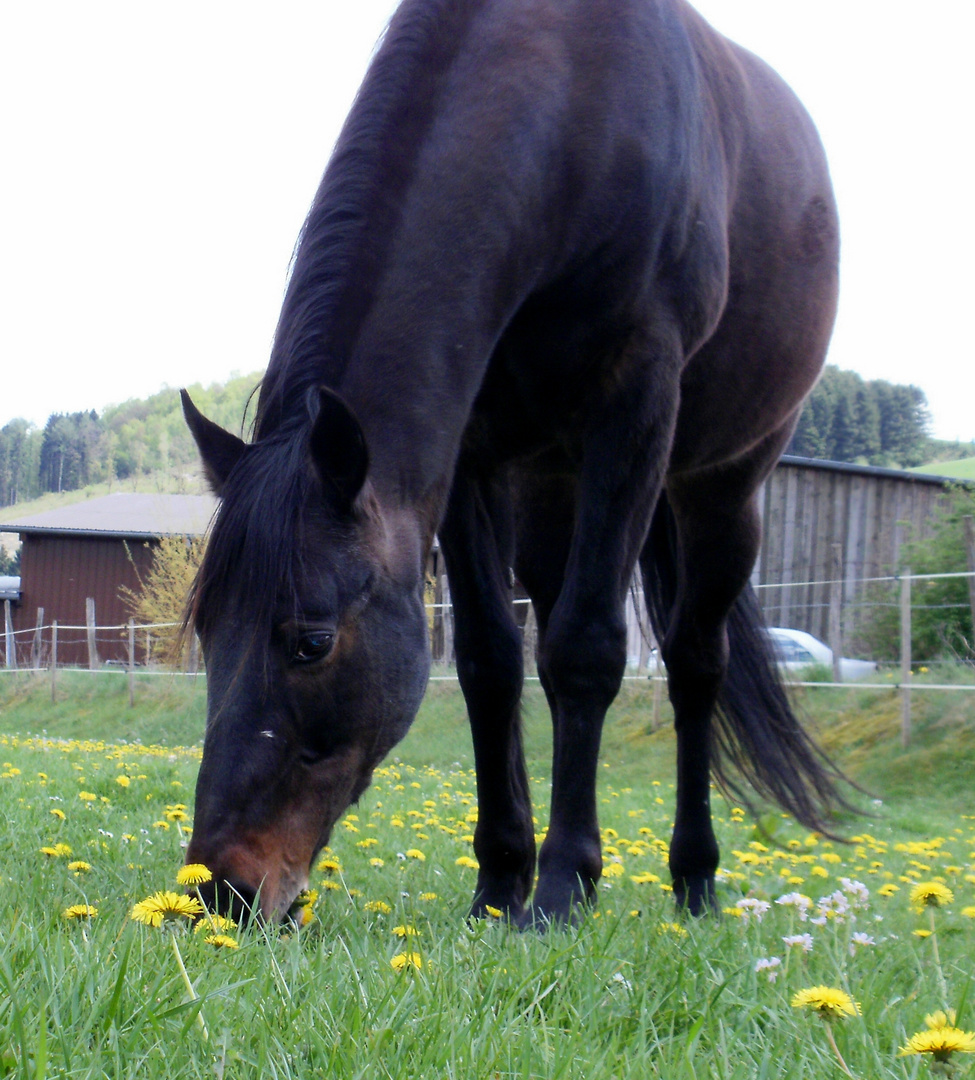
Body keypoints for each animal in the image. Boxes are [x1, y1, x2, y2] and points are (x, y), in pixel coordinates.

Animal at [183, 0, 846, 928]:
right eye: (206, 630)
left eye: (311, 643)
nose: (220, 888)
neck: (573, 108)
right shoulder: (467, 454)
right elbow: (491, 660)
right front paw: (500, 880)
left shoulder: (633, 404)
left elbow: (587, 647)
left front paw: (564, 884)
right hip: (550, 491)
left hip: (723, 489)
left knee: (692, 664)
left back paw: (692, 878)